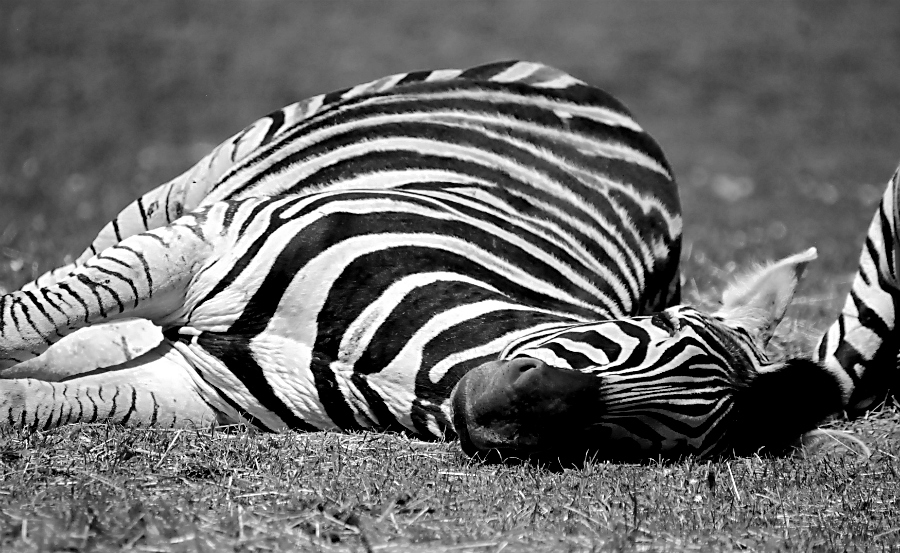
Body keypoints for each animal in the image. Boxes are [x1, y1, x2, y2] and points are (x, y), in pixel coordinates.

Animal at [0, 60, 845, 461]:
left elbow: (45, 400)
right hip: (200, 189)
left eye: (637, 440)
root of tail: (623, 111)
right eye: (642, 333)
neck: (396, 360)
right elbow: (29, 317)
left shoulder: (193, 389)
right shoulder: (214, 240)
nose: (500, 406)